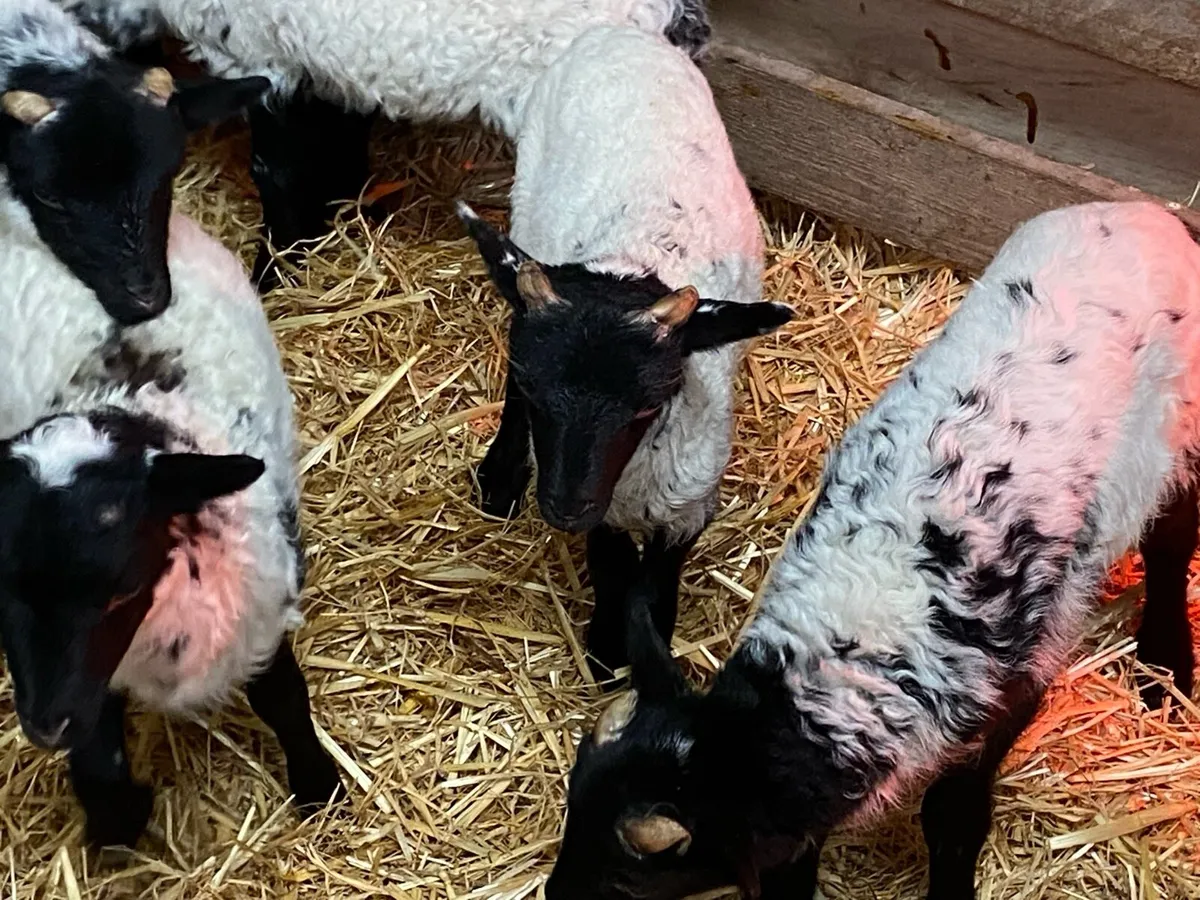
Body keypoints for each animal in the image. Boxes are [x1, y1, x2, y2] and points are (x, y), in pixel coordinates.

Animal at [0, 206, 342, 848]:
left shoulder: (264, 606)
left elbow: (283, 696)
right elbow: (98, 749)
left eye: (123, 590)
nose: (46, 728)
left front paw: (318, 785)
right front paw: (115, 818)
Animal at [456, 26, 792, 681]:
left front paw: (650, 635)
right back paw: (502, 474)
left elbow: (657, 574)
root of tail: (619, 33)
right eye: (536, 393)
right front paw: (609, 644)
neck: (629, 262)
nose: (563, 507)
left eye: (644, 407)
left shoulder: (690, 496)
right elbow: (610, 559)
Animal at [545, 201, 1200, 900]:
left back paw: (1166, 665)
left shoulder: (1017, 681)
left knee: (1172, 538)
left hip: (1179, 427)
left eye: (629, 880)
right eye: (571, 806)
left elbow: (954, 813)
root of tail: (1144, 209)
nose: (554, 895)